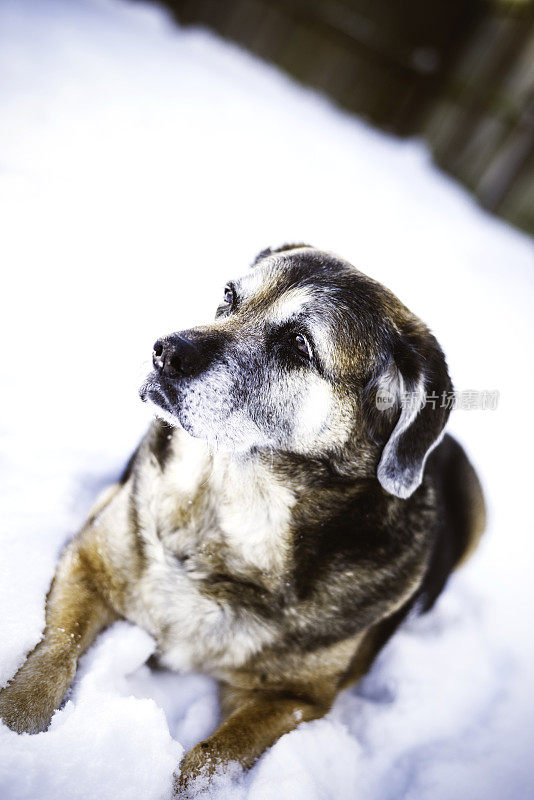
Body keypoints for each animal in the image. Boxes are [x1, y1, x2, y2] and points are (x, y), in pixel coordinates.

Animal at [0, 245, 486, 792]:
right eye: (230, 296)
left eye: (299, 344)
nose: (164, 351)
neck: (227, 504)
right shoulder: (87, 563)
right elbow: (53, 652)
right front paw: (16, 725)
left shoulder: (293, 698)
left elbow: (213, 760)